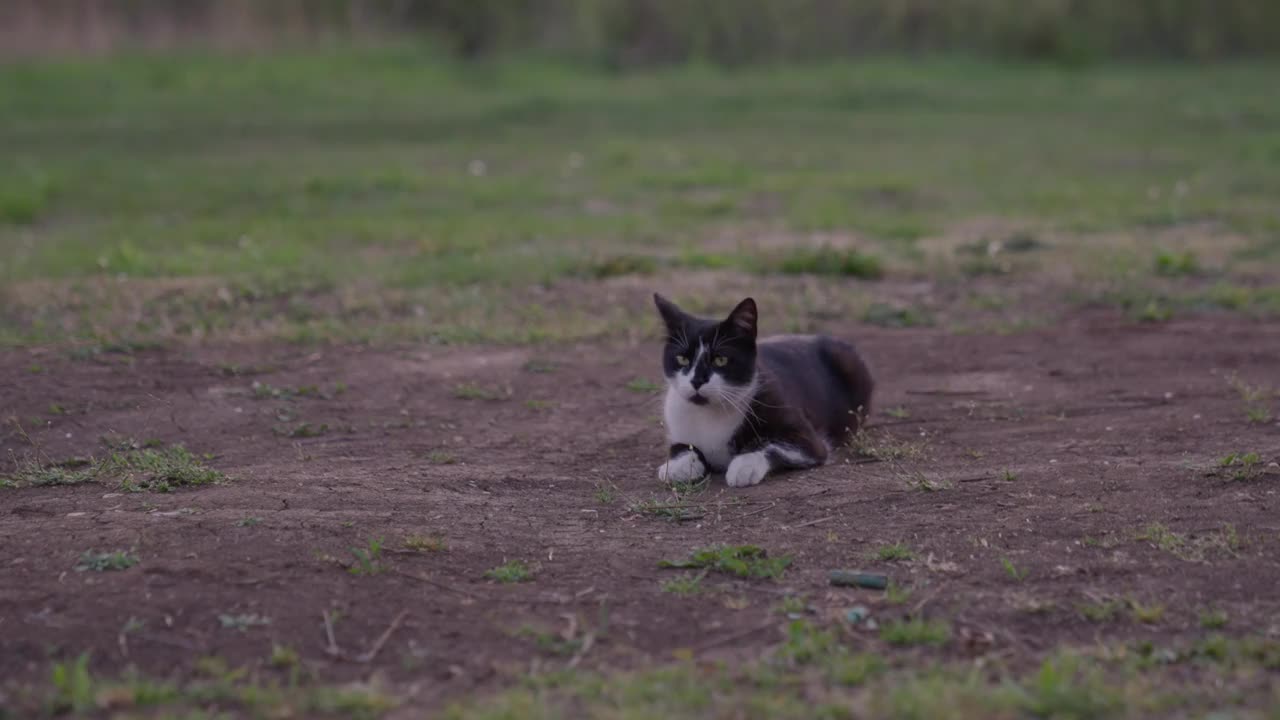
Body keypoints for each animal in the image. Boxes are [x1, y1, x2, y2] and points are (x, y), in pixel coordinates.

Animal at [655, 292, 875, 486]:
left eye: (721, 360)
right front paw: (676, 466)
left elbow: (772, 444)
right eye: (682, 359)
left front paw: (744, 466)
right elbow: (682, 446)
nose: (697, 380)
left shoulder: (810, 440)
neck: (709, 413)